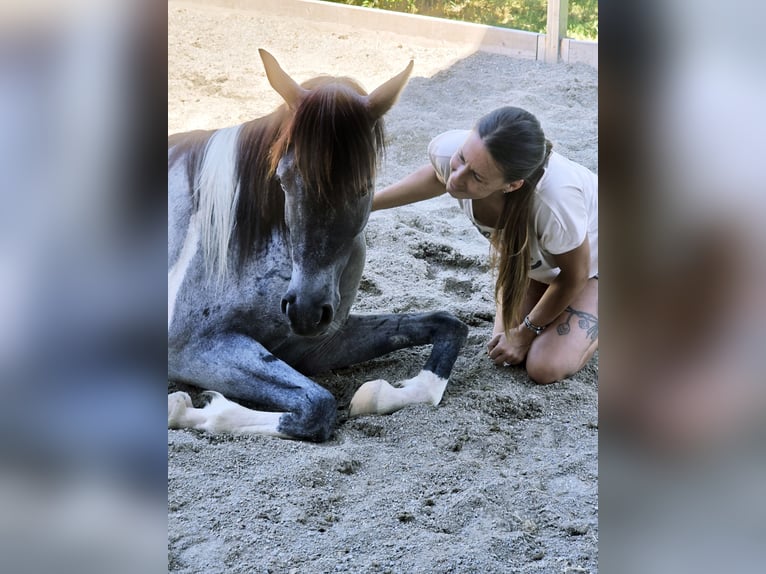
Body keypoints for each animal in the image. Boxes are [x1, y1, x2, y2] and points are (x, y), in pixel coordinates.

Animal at [168, 49, 468, 442]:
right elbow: (318, 406)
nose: (305, 311)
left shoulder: (317, 344)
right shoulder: (195, 348)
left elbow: (449, 325)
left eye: (364, 186)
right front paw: (186, 409)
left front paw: (380, 395)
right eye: (282, 179)